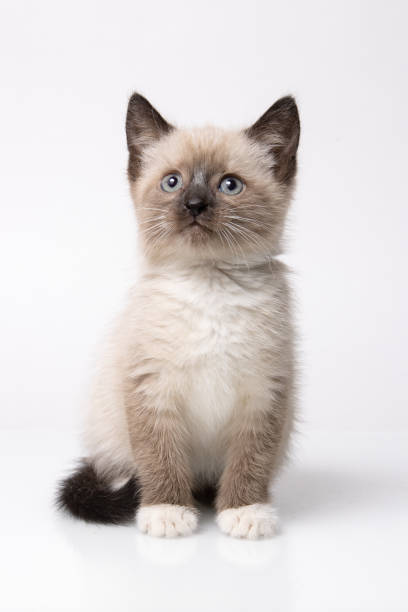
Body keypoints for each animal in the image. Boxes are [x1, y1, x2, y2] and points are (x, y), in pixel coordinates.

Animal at [57, 93, 300, 536]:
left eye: (230, 185)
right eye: (172, 182)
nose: (194, 205)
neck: (209, 282)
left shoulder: (263, 392)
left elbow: (250, 461)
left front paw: (245, 511)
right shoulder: (152, 389)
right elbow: (160, 457)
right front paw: (167, 510)